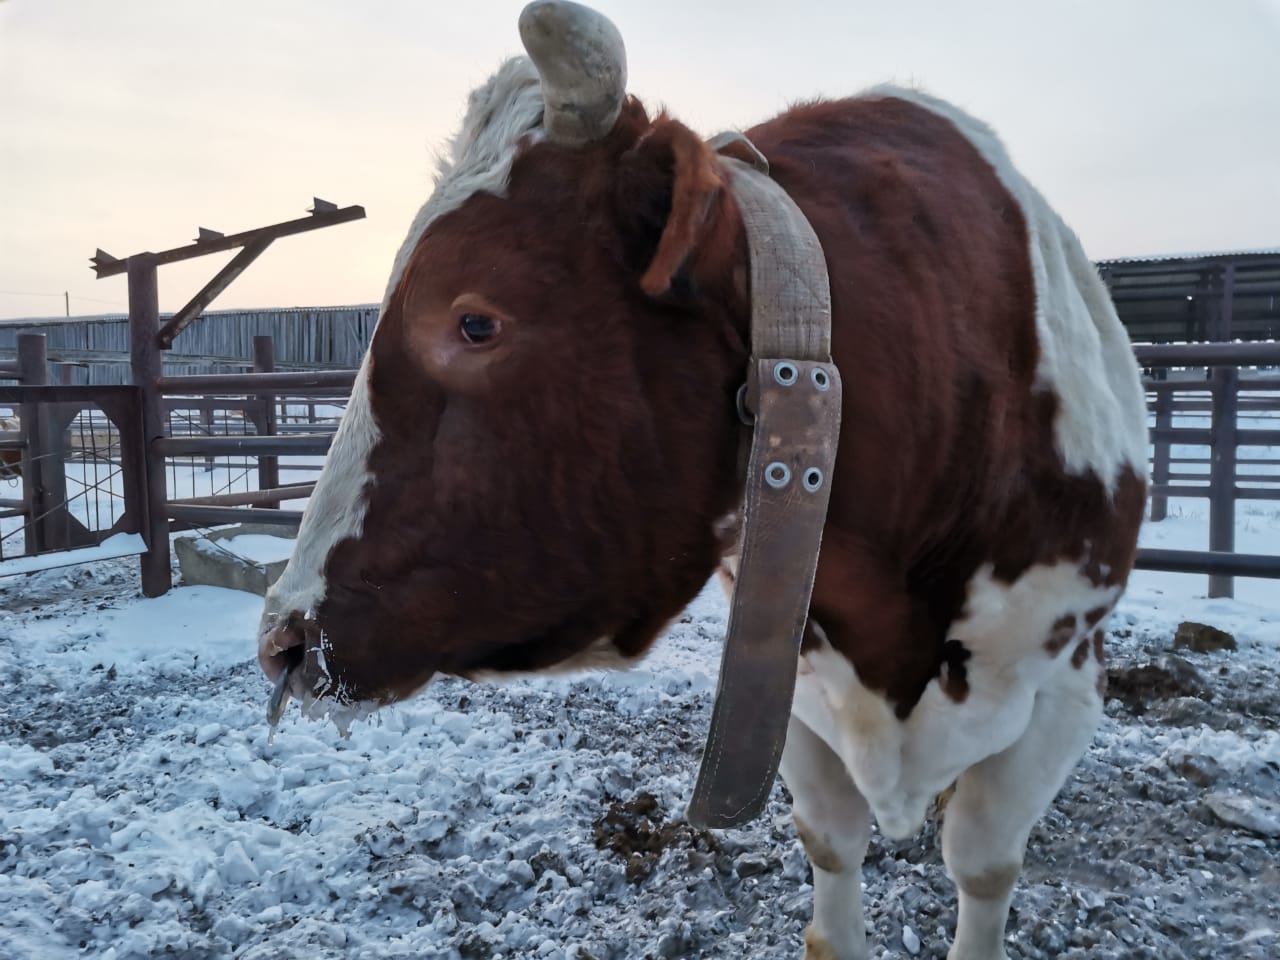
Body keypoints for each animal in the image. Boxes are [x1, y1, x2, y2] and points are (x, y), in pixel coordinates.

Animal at [257, 3, 1152, 957]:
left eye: (473, 322)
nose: (283, 640)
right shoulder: (794, 688)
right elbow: (833, 866)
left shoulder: (1065, 686)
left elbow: (983, 867)